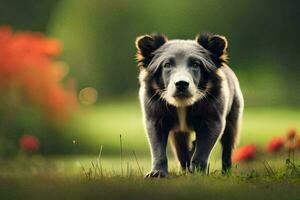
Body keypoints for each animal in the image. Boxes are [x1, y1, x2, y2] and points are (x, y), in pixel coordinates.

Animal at [136, 32, 244, 178]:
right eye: (167, 65)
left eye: (196, 64)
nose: (181, 84)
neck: (182, 105)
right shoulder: (154, 113)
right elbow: (157, 147)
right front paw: (157, 173)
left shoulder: (213, 116)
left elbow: (202, 150)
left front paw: (197, 173)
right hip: (179, 133)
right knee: (181, 150)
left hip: (233, 113)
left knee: (228, 145)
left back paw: (225, 172)